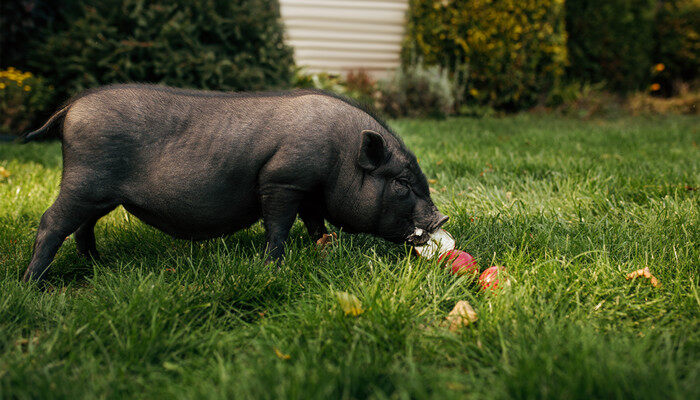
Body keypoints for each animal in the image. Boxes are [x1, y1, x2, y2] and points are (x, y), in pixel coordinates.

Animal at [23, 85, 448, 282]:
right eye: (402, 183)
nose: (442, 219)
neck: (340, 154)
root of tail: (71, 107)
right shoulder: (283, 180)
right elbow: (278, 227)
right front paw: (272, 267)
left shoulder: (310, 192)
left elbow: (316, 224)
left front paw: (328, 251)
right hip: (84, 180)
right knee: (51, 222)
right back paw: (33, 284)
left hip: (100, 194)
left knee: (83, 227)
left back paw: (100, 264)